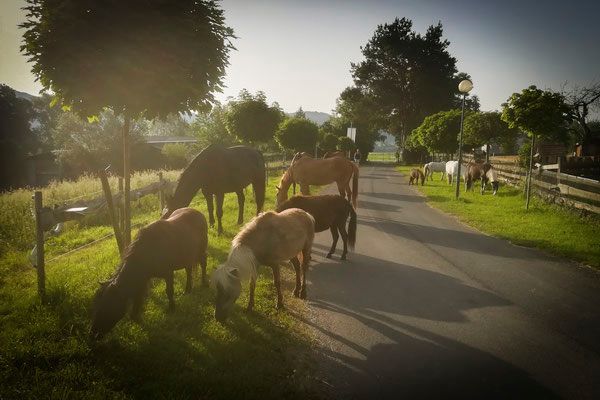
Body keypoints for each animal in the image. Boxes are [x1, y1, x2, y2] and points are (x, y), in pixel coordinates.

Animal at [91, 208, 208, 339]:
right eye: (96, 305)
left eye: (108, 305)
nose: (93, 334)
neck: (148, 251)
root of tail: (198, 213)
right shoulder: (142, 279)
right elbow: (138, 297)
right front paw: (135, 317)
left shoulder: (168, 273)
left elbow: (169, 291)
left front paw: (172, 308)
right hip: (187, 256)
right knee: (188, 270)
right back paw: (188, 289)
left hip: (201, 250)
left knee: (203, 263)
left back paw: (204, 283)